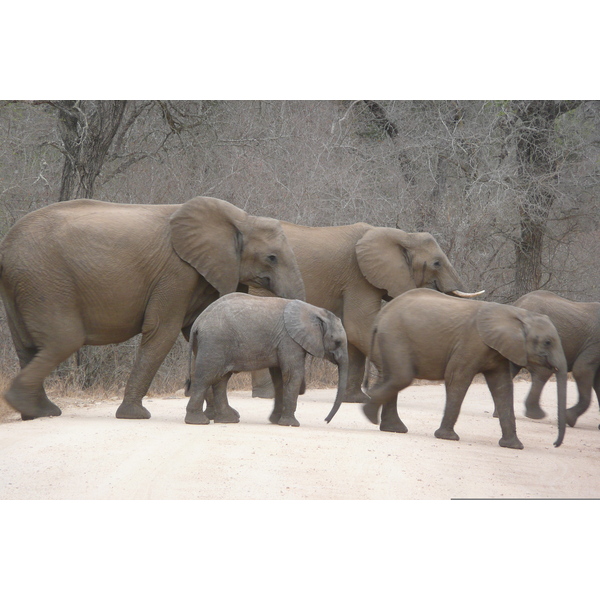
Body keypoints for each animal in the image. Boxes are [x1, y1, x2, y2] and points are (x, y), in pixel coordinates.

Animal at [0, 197, 308, 422]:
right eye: (272, 258)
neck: (239, 218)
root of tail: (6, 247)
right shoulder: (176, 272)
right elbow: (163, 332)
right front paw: (135, 415)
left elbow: (195, 333)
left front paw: (221, 417)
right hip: (44, 280)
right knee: (63, 340)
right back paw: (29, 407)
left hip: (22, 284)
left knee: (28, 346)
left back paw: (36, 412)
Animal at [185, 292, 350, 424]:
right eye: (338, 342)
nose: (326, 420)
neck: (314, 310)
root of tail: (197, 323)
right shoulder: (289, 340)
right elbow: (292, 375)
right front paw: (291, 424)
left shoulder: (282, 342)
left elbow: (279, 378)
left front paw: (276, 421)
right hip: (215, 342)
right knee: (206, 377)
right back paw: (198, 421)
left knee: (221, 380)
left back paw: (227, 420)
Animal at [251, 223, 486, 406]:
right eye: (437, 263)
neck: (402, 235)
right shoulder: (358, 277)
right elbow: (359, 327)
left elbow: (352, 334)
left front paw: (357, 400)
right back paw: (267, 395)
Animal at [328, 288, 568, 448]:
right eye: (548, 342)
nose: (555, 444)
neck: (515, 314)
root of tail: (380, 317)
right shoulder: (471, 343)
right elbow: (458, 379)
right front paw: (447, 437)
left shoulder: (498, 349)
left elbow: (502, 388)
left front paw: (514, 446)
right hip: (394, 337)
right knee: (401, 377)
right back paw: (371, 415)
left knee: (393, 378)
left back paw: (391, 427)